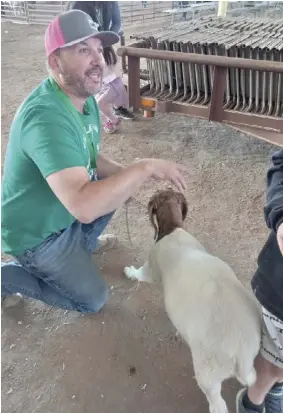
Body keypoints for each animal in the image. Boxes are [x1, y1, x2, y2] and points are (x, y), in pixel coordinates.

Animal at [125, 189, 262, 412]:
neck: (173, 228)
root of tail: (241, 353)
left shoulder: (151, 267)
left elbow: (141, 274)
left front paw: (129, 272)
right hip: (250, 365)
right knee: (255, 381)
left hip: (208, 375)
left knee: (218, 404)